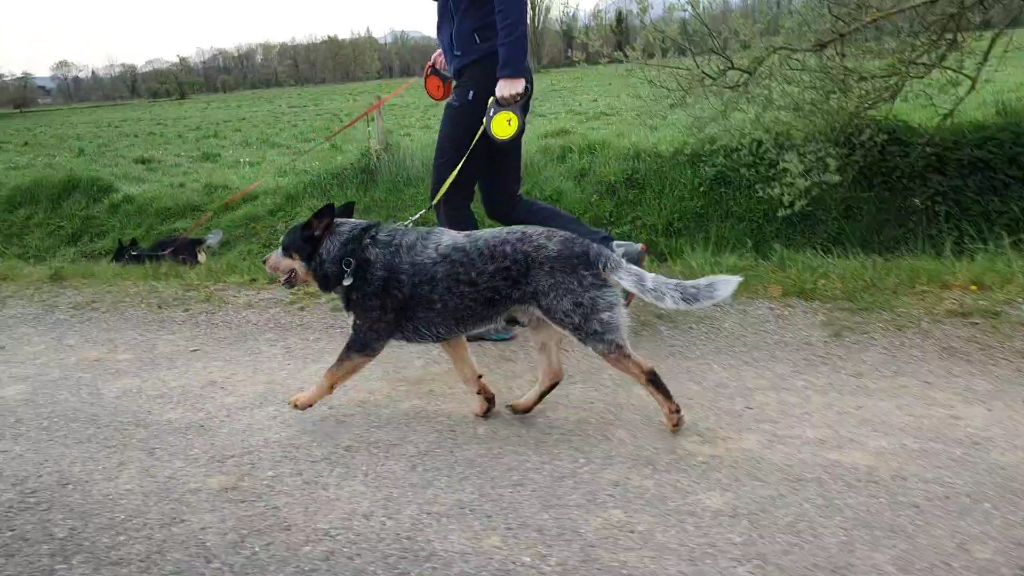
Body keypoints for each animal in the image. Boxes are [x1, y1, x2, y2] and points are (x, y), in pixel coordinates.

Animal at [264, 201, 741, 430]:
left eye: (285, 246)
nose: (263, 261)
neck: (353, 254)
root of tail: (595, 250)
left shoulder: (367, 336)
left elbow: (330, 374)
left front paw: (304, 398)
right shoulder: (449, 334)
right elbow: (469, 375)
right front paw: (485, 401)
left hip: (590, 326)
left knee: (646, 370)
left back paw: (673, 415)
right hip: (542, 324)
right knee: (553, 373)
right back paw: (523, 404)